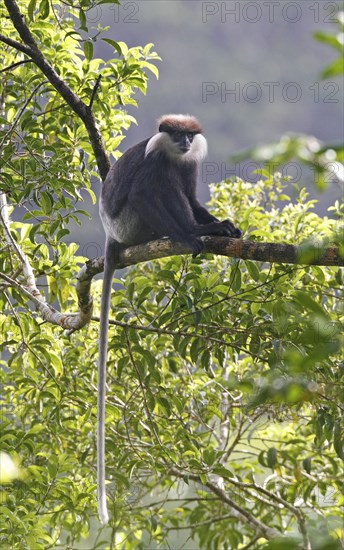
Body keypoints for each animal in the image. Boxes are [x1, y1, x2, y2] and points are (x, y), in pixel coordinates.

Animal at [97, 114, 242, 524]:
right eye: (176, 133)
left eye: (190, 136)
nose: (184, 142)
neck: (173, 154)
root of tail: (112, 235)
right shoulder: (156, 159)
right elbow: (146, 194)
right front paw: (194, 233)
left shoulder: (187, 163)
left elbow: (191, 198)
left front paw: (222, 226)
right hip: (131, 225)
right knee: (158, 191)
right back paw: (192, 232)